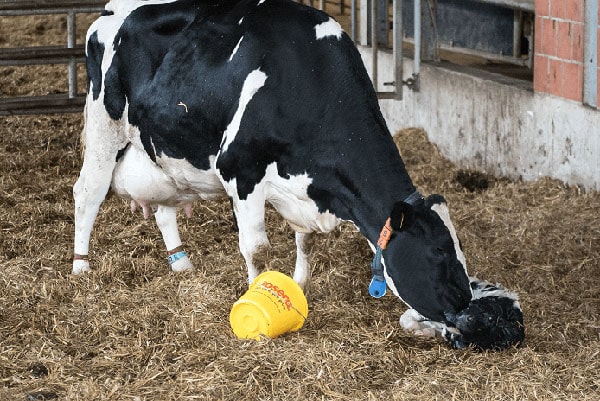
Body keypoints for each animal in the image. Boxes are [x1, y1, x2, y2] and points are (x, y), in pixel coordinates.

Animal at [75, 0, 474, 324]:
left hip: (160, 150)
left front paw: (300, 285)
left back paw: (182, 264)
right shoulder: (240, 170)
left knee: (162, 208)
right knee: (87, 195)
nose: (466, 300)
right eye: (439, 248)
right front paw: (254, 295)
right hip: (103, 128)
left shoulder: (303, 189)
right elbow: (257, 249)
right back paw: (81, 268)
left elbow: (306, 240)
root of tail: (111, 10)